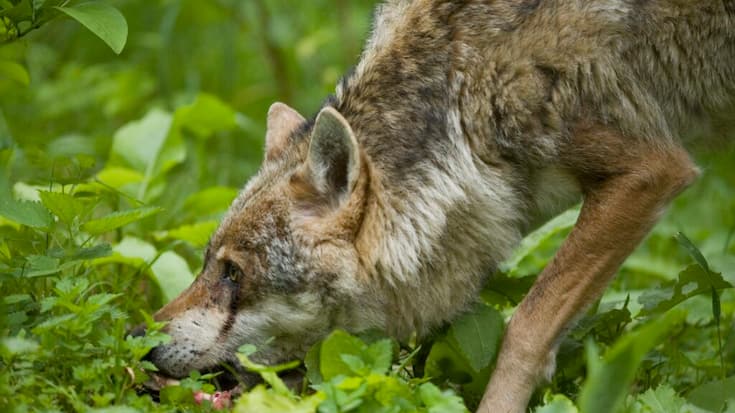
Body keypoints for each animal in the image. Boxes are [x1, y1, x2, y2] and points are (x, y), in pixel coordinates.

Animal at [137, 1, 735, 412]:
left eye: (234, 274)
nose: (138, 342)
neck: (459, 90)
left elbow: (525, 327)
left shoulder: (650, 170)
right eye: (207, 263)